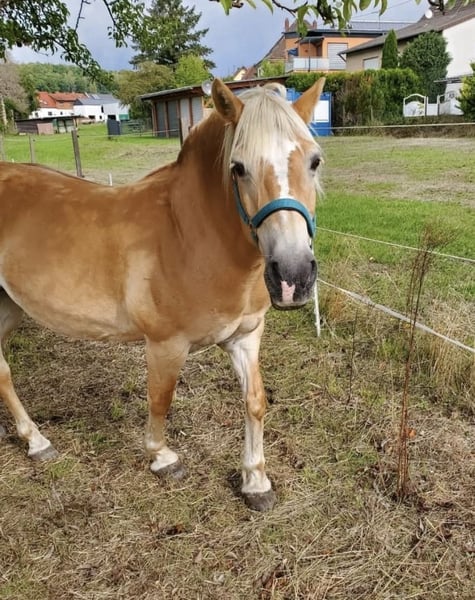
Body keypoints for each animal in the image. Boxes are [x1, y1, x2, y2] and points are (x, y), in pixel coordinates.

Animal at [0, 77, 325, 511]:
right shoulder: (165, 344)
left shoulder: (245, 336)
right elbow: (160, 399)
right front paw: (162, 459)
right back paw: (36, 441)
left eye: (314, 161)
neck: (189, 236)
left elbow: (255, 402)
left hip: (8, 307)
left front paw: (256, 481)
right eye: (238, 168)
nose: (293, 276)